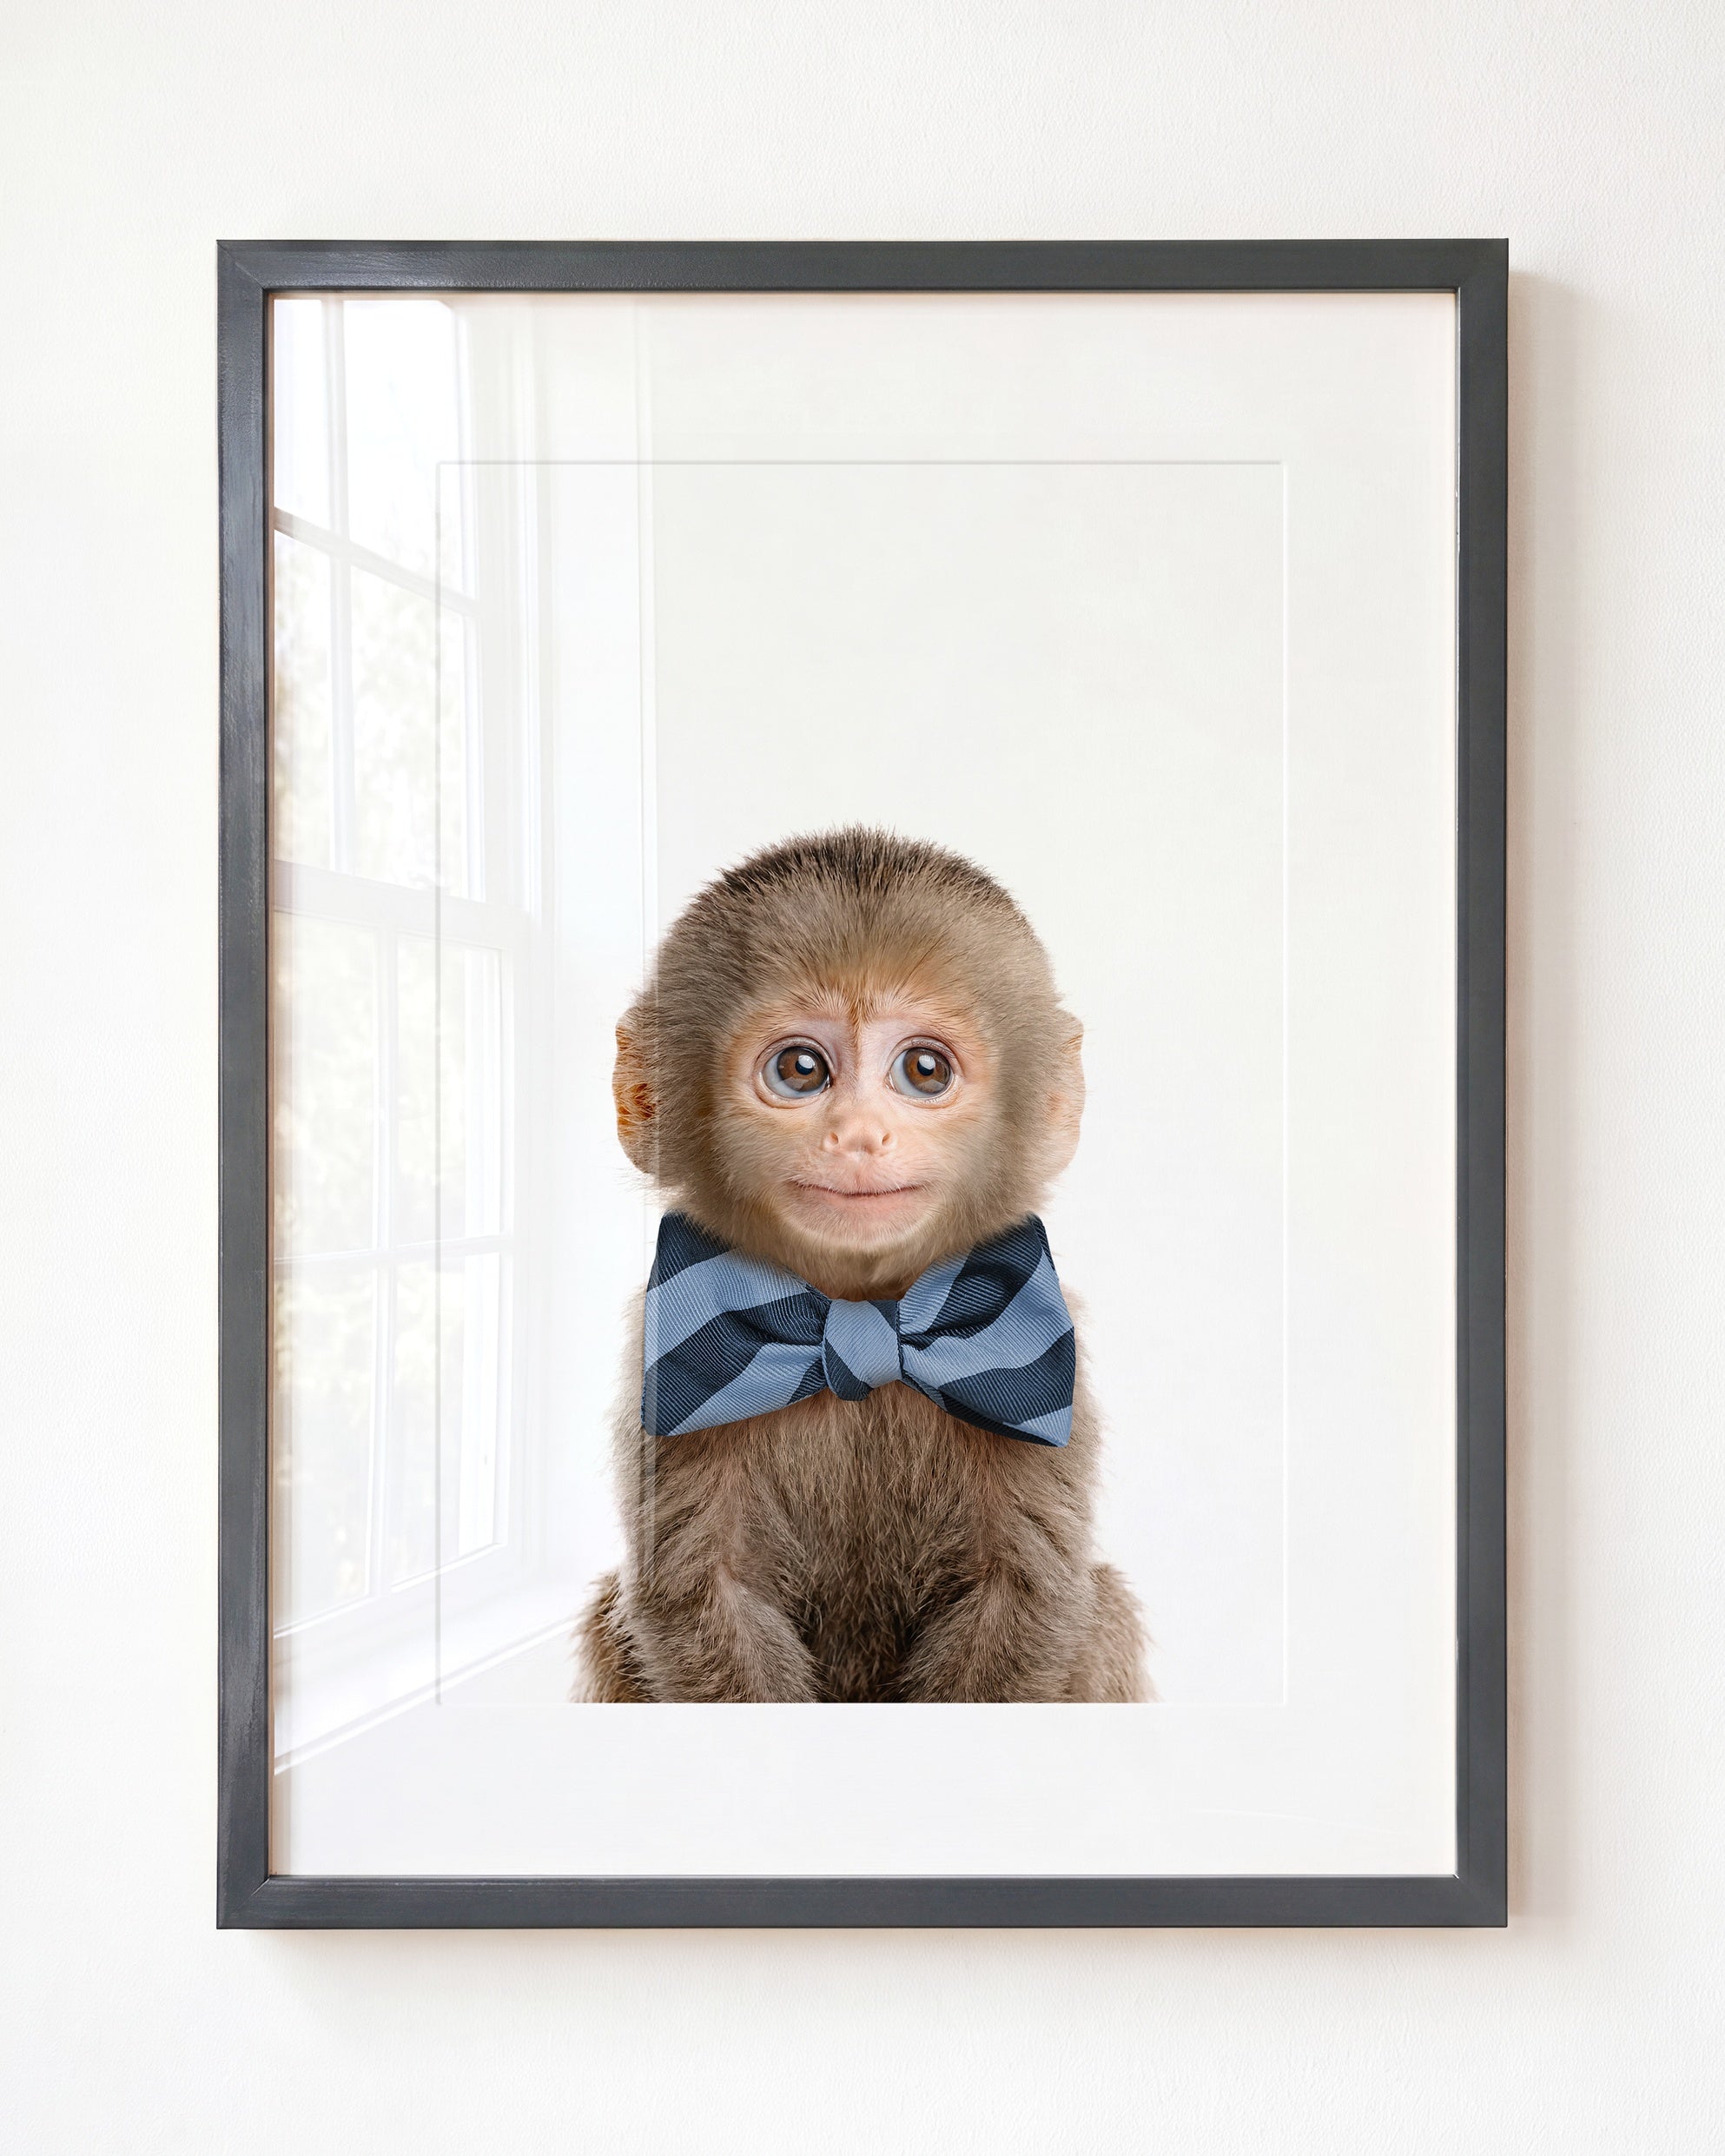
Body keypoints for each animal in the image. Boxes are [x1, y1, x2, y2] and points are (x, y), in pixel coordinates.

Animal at [573, 826, 1147, 1703]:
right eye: (801, 1069)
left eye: (924, 1070)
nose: (858, 1136)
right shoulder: (667, 1362)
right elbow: (702, 1596)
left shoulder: (1050, 1368)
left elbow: (1024, 1595)